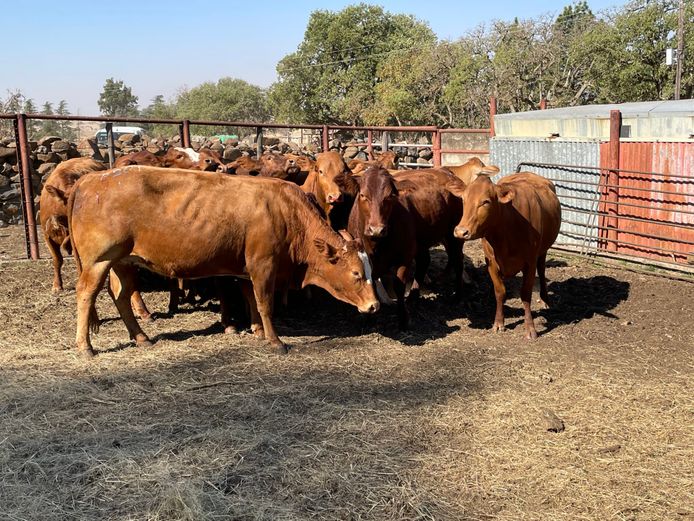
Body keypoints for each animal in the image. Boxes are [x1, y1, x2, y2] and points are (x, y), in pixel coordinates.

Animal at [67, 166, 380, 357]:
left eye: (370, 270)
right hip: (99, 260)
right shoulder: (263, 265)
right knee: (86, 294)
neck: (285, 213)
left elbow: (251, 298)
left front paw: (257, 330)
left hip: (122, 260)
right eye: (356, 273)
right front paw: (275, 340)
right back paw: (85, 346)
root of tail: (91, 179)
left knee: (121, 296)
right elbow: (264, 303)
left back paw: (141, 336)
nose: (374, 305)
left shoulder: (247, 269)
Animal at [448, 172, 561, 339]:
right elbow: (500, 292)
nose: (461, 232)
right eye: (463, 199)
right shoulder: (491, 262)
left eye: (486, 201)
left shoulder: (530, 262)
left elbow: (525, 294)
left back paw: (545, 300)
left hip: (542, 251)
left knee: (541, 271)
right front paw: (498, 323)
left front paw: (530, 328)